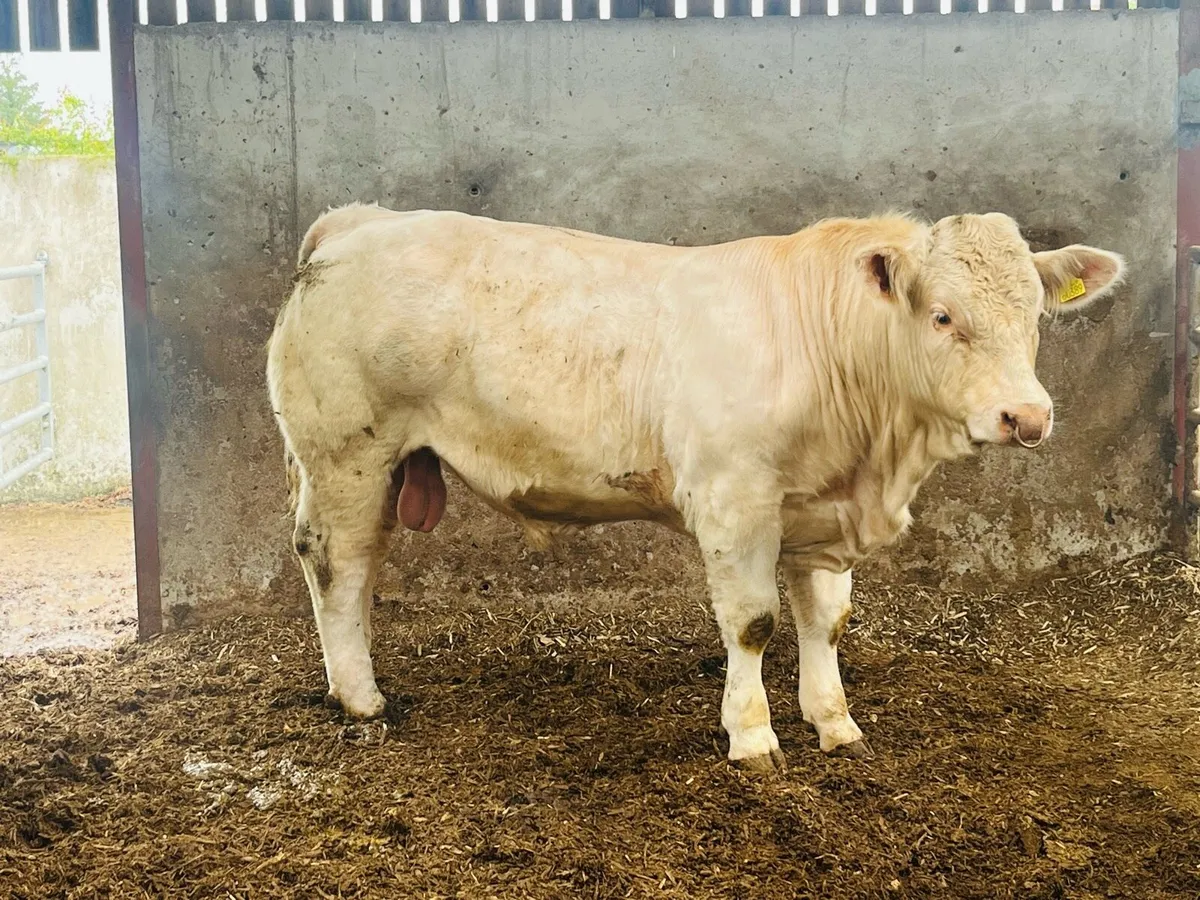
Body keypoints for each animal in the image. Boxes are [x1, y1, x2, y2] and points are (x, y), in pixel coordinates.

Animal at [266, 203, 1124, 773]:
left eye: (1036, 314)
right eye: (943, 316)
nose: (1027, 416)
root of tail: (358, 220)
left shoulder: (822, 515)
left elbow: (827, 623)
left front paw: (835, 723)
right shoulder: (734, 500)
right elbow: (753, 624)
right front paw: (753, 737)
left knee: (359, 567)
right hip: (346, 451)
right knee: (336, 564)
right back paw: (361, 697)